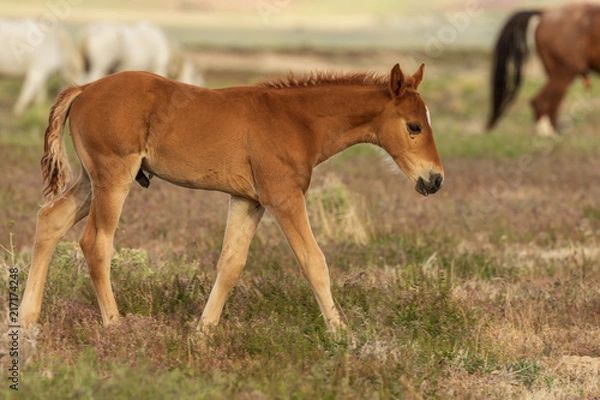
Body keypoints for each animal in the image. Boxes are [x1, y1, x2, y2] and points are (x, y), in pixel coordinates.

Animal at [18, 63, 442, 334]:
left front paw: (202, 332)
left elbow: (231, 264)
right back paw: (115, 325)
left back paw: (27, 318)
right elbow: (314, 262)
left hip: (92, 180)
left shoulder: (247, 200)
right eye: (413, 126)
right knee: (96, 243)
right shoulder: (283, 196)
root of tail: (84, 89)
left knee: (50, 219)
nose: (434, 179)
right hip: (113, 177)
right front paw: (343, 335)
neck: (297, 121)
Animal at [488, 1, 600, 137]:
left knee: (553, 101)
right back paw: (547, 135)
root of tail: (547, 12)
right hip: (565, 71)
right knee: (542, 101)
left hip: (555, 72)